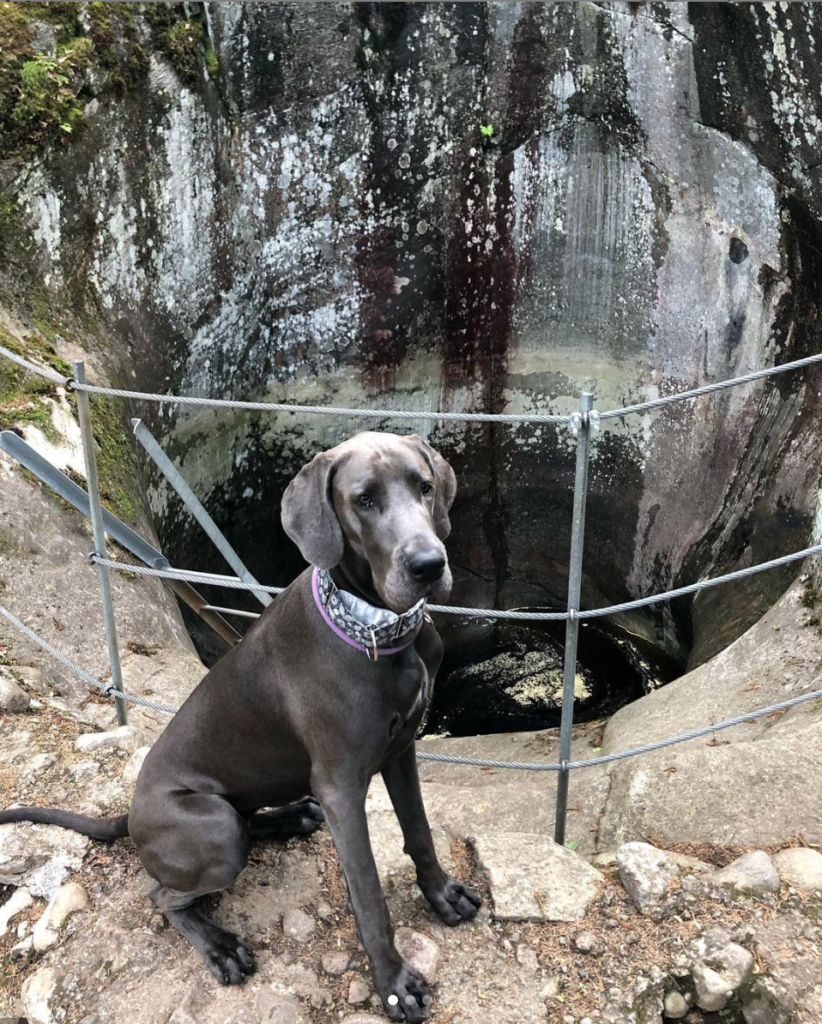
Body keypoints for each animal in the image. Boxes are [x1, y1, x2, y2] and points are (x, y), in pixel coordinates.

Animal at [0, 431, 480, 1022]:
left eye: (425, 486)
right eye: (363, 500)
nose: (428, 564)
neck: (377, 630)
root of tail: (130, 816)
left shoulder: (402, 749)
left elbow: (420, 831)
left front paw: (442, 895)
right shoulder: (341, 786)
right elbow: (368, 896)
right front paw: (393, 982)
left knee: (248, 825)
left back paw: (291, 817)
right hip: (214, 829)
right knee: (163, 894)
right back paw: (221, 946)